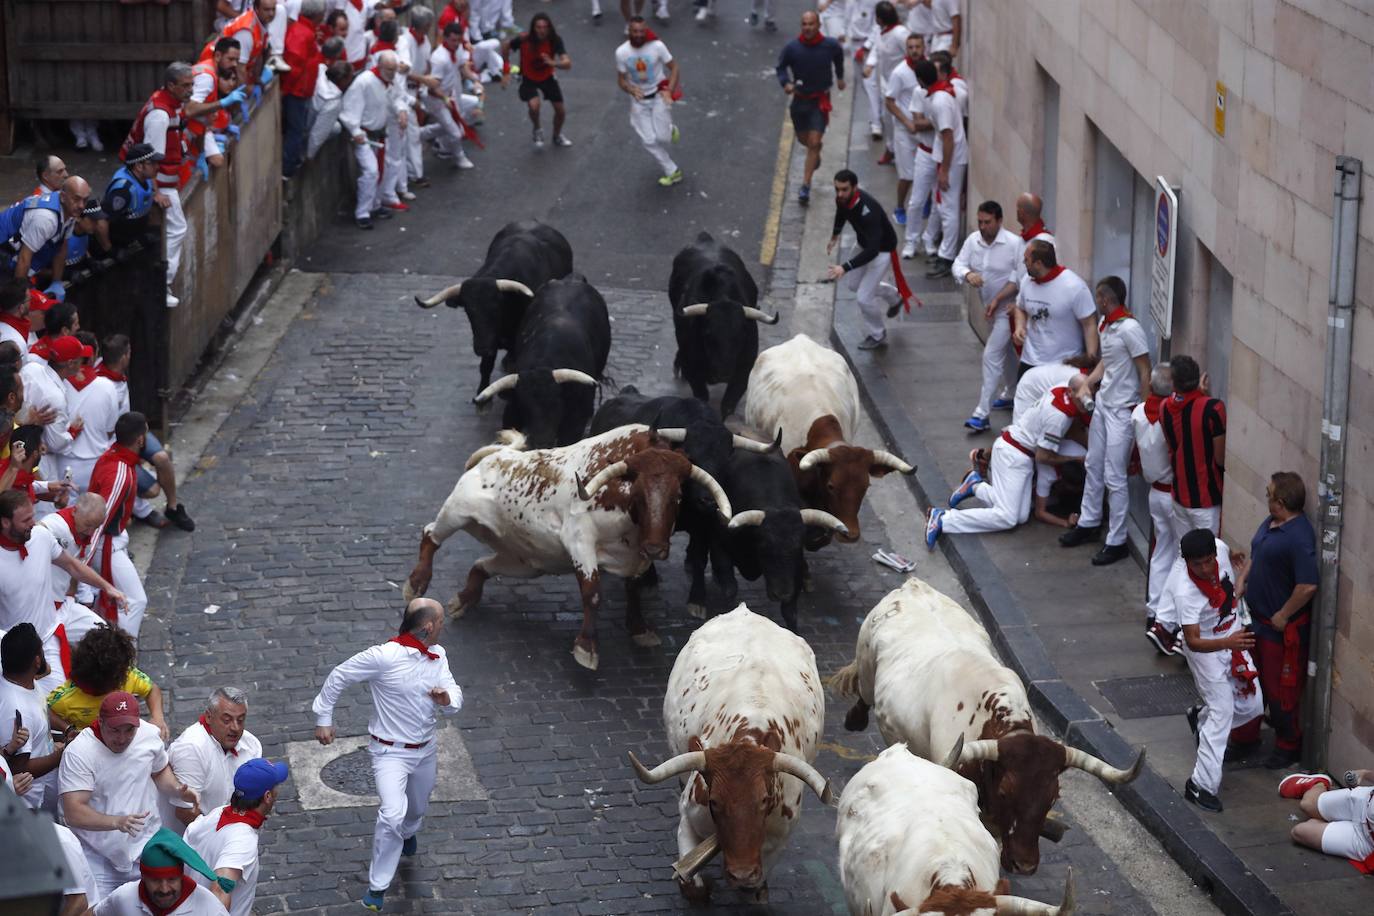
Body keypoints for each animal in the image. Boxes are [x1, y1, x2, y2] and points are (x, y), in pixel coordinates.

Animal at [403, 425, 736, 670]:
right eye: (639, 494)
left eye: (677, 496)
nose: (655, 548)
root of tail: (498, 455)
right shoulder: (580, 540)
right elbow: (593, 593)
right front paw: (586, 647)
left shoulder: (634, 557)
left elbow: (634, 590)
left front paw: (639, 628)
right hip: (456, 512)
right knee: (431, 535)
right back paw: (416, 582)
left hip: (527, 564)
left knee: (481, 565)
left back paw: (464, 598)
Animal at [629, 604, 829, 906]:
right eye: (714, 802)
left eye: (764, 800)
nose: (741, 873)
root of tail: (744, 611)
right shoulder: (689, 816)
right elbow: (693, 885)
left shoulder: (780, 837)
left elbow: (757, 886)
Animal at [829, 579, 1143, 873]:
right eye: (1005, 792)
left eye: (1053, 798)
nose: (1024, 865)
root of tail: (913, 586)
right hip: (867, 665)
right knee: (864, 694)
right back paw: (854, 719)